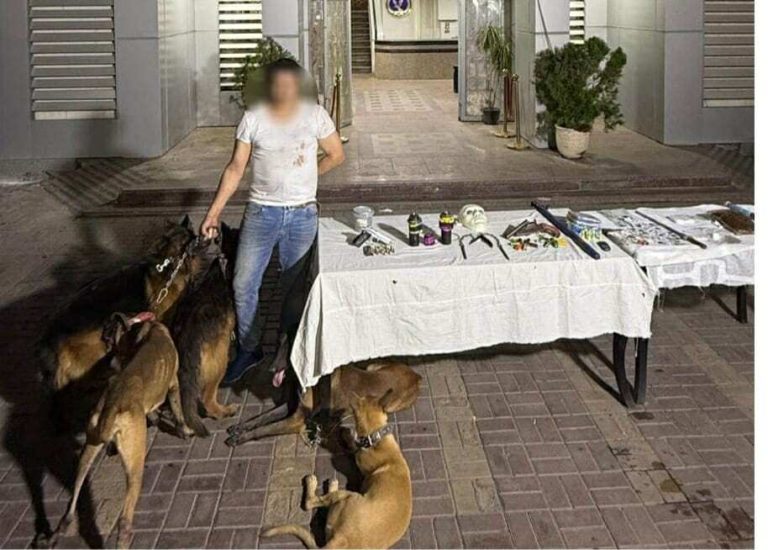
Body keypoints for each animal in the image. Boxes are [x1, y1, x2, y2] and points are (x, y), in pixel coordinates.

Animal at [50, 312, 192, 549]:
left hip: (89, 448)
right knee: (124, 522)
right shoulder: (173, 384)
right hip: (135, 466)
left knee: (76, 487)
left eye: (108, 338)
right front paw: (185, 430)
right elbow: (178, 410)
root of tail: (111, 406)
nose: (110, 358)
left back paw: (61, 526)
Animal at [225, 358, 422, 447]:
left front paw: (240, 438)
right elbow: (260, 418)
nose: (270, 368)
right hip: (372, 367)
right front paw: (239, 427)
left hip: (389, 405)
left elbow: (265, 428)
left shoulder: (296, 420)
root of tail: (416, 376)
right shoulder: (289, 407)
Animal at [262, 390, 413, 548]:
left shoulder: (359, 456)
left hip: (347, 495)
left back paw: (321, 484)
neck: (377, 439)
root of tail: (340, 539)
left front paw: (348, 435)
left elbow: (355, 446)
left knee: (310, 503)